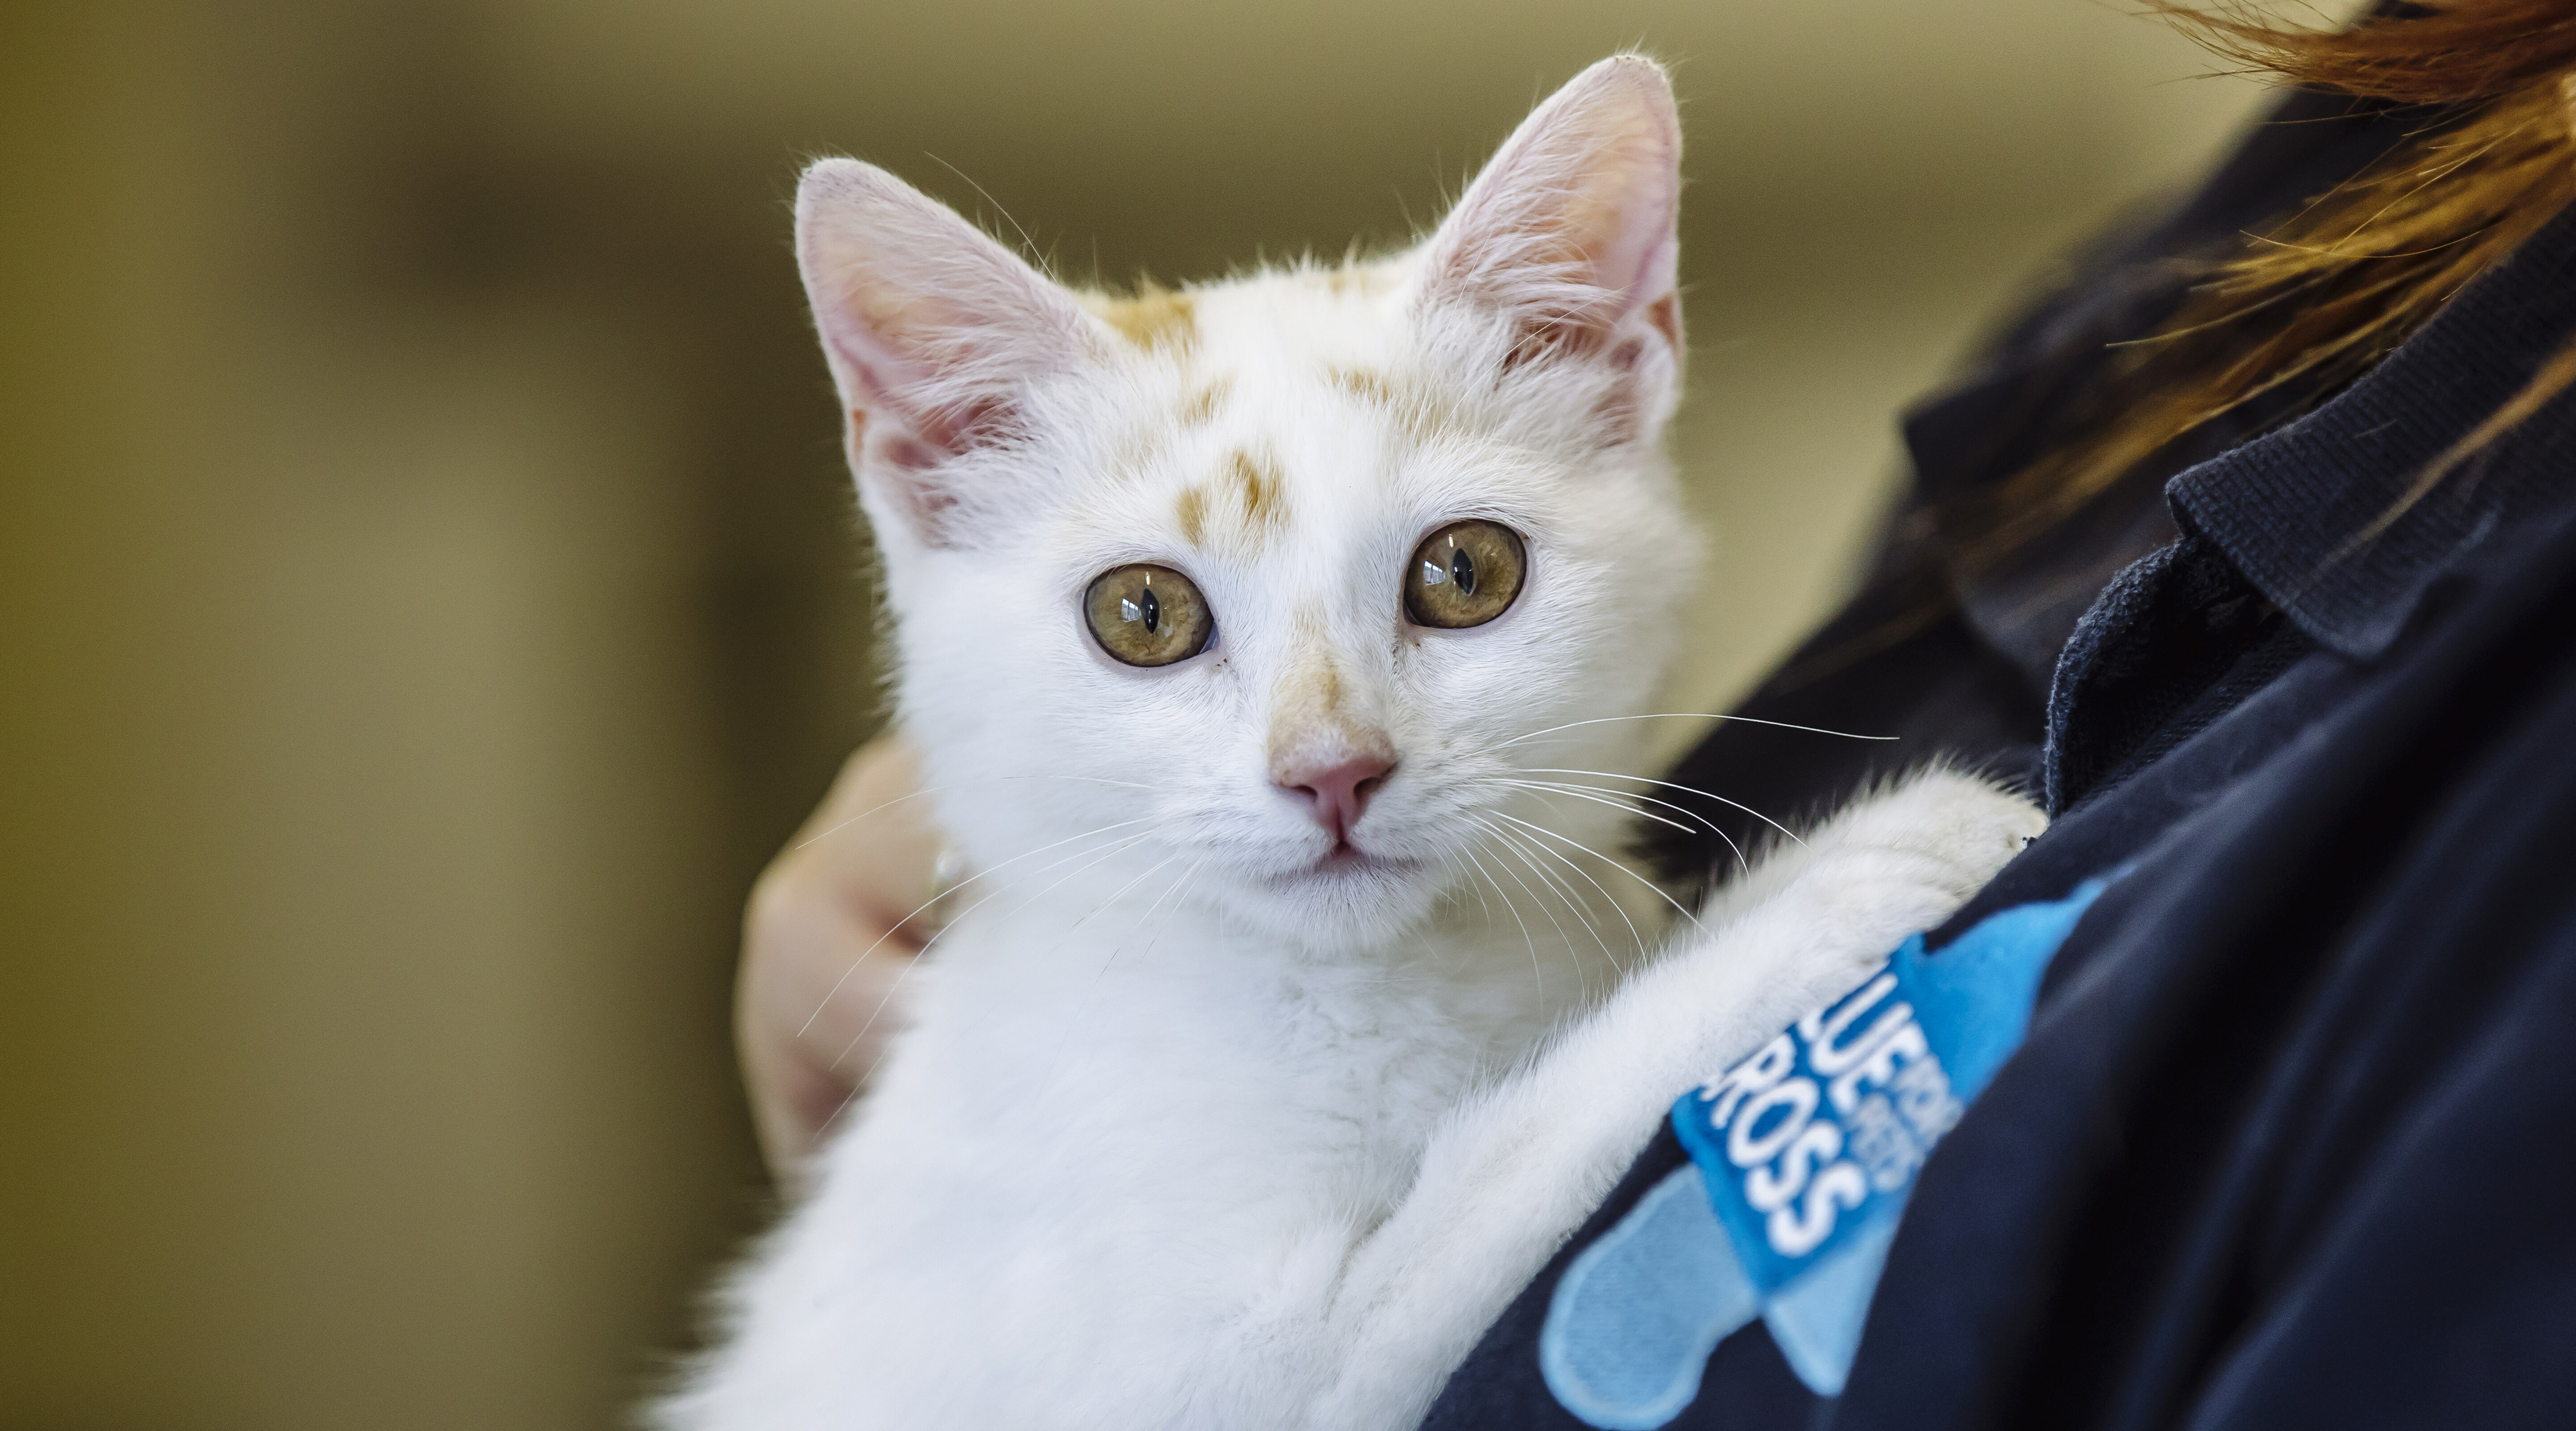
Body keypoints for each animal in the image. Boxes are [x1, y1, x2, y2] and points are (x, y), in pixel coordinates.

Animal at [659, 56, 2029, 1431]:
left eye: (1466, 573)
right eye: (1141, 614)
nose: (1331, 770)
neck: (1356, 991)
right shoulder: (1221, 1379)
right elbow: (1503, 1152)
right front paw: (1866, 865)